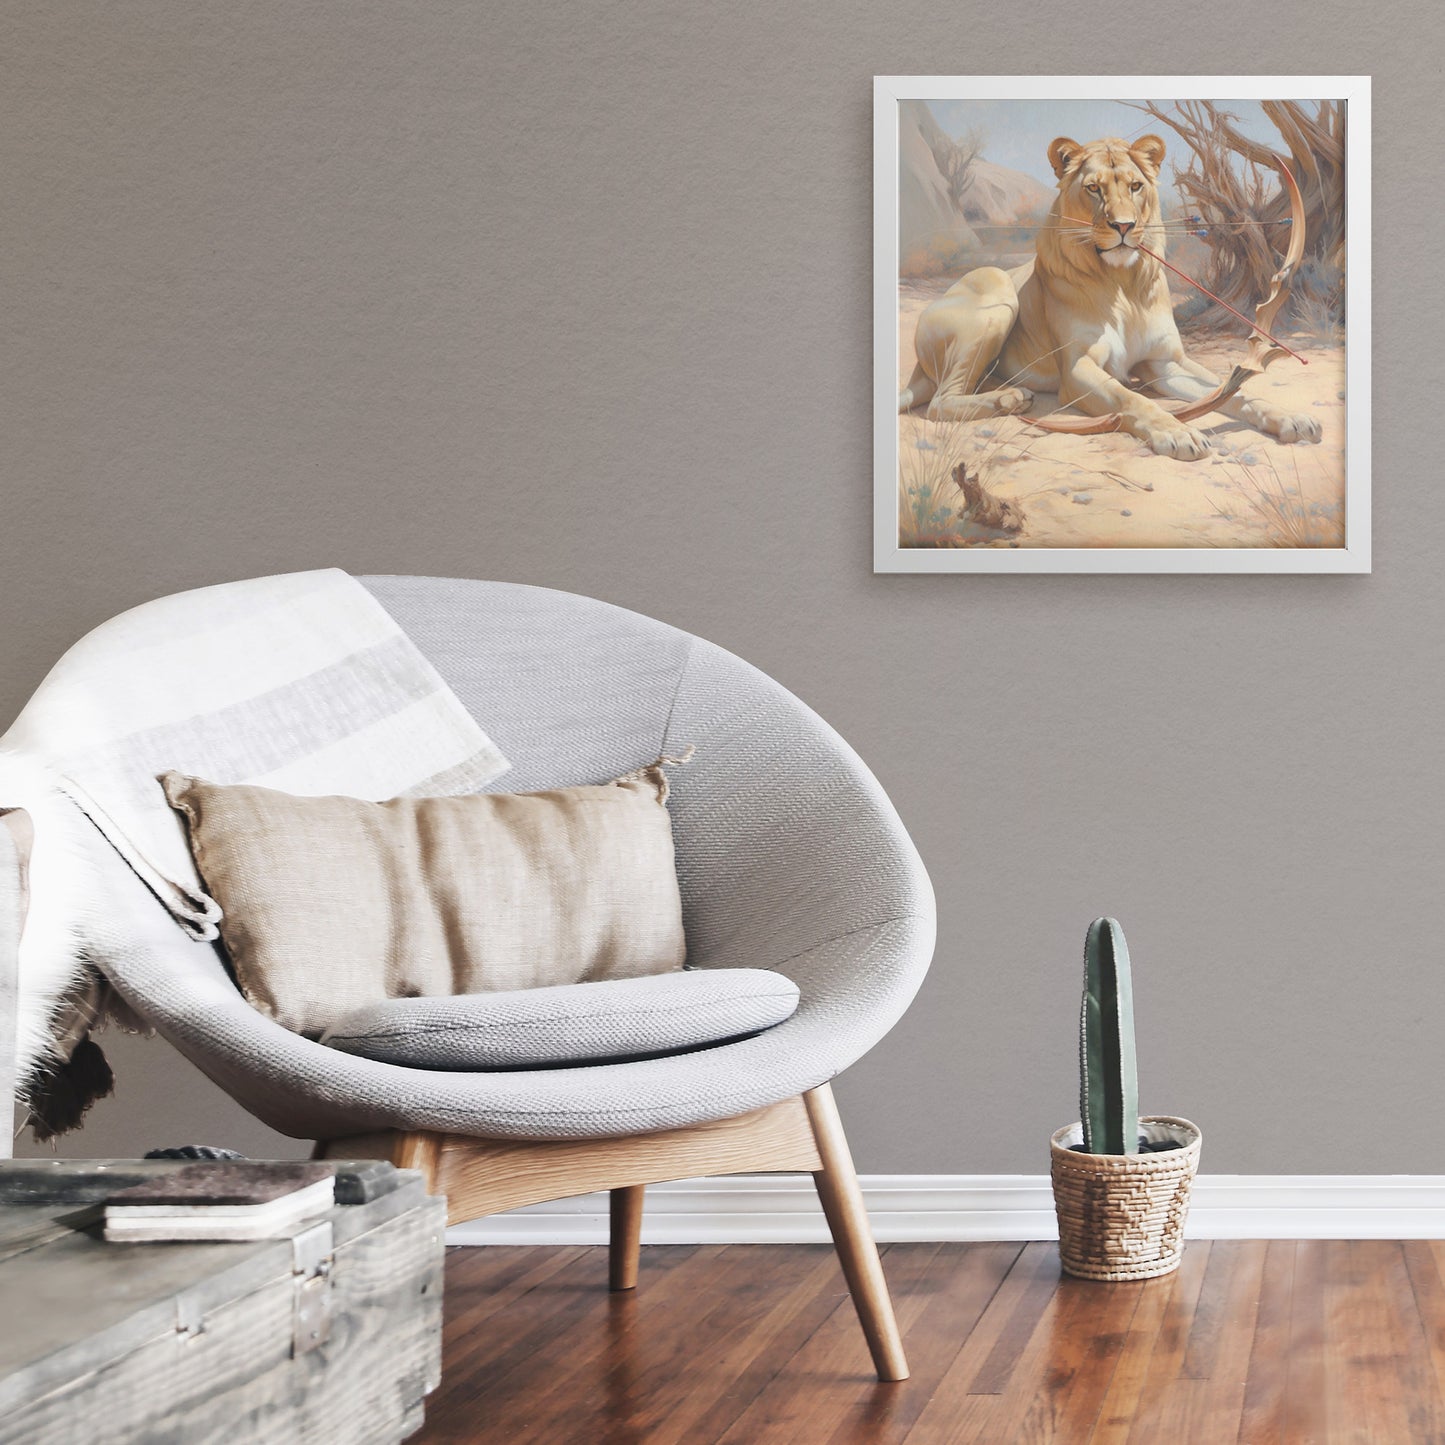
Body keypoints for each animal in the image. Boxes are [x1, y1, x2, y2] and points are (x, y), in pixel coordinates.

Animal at [897, 134, 1321, 460]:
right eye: (1093, 188)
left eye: (1135, 186)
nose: (1123, 226)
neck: (1122, 284)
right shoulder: (1078, 369)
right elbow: (1130, 398)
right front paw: (1177, 433)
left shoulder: (1165, 363)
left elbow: (1232, 391)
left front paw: (1291, 418)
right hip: (998, 290)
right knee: (940, 401)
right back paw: (1011, 399)